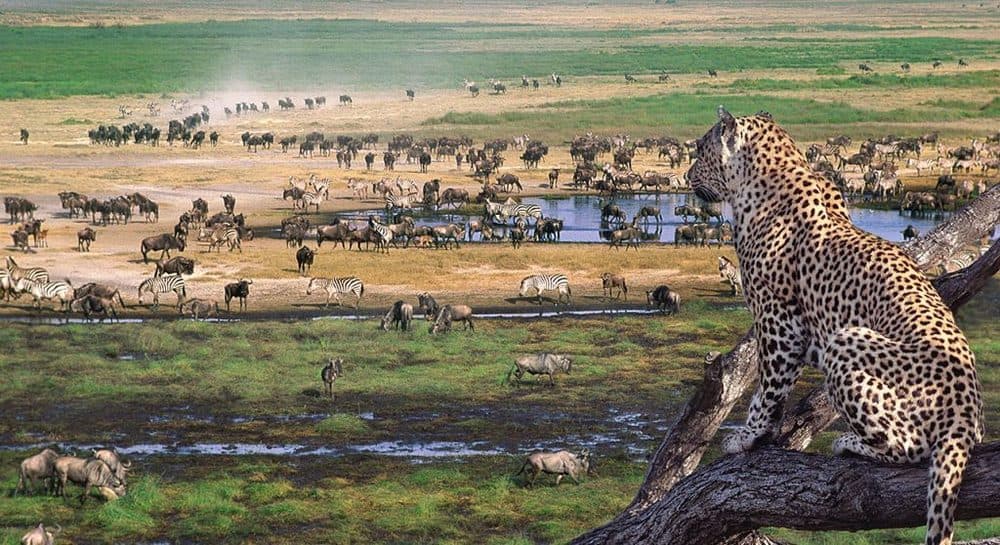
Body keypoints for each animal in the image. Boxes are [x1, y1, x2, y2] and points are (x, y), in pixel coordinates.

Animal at [685, 107, 983, 545]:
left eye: (701, 149)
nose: (687, 175)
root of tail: (966, 411)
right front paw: (764, 434)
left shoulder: (777, 320)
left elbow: (767, 389)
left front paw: (749, 436)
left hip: (846, 341)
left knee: (911, 448)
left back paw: (849, 442)